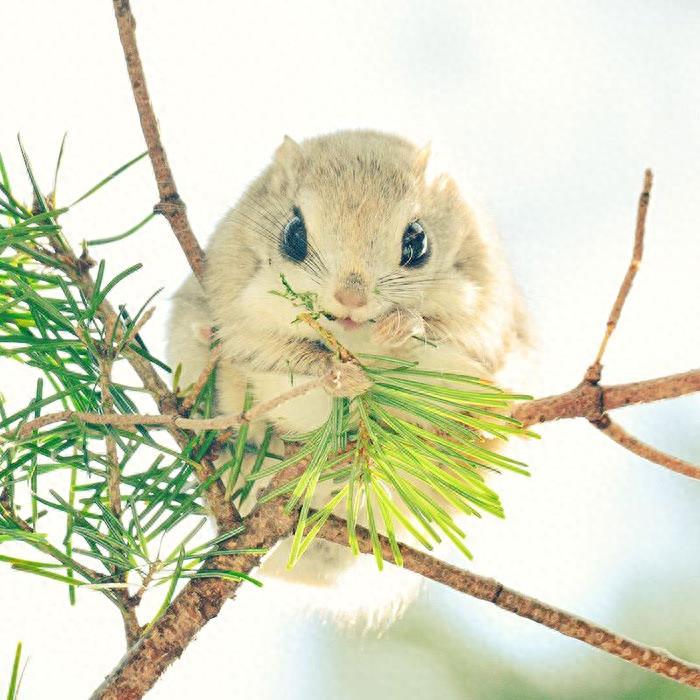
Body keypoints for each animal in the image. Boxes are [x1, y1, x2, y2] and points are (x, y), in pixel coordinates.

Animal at [167, 130, 532, 616]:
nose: (351, 299)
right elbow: (285, 356)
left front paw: (399, 328)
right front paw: (342, 377)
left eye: (418, 243)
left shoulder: (483, 323)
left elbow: (434, 336)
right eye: (294, 235)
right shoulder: (239, 314)